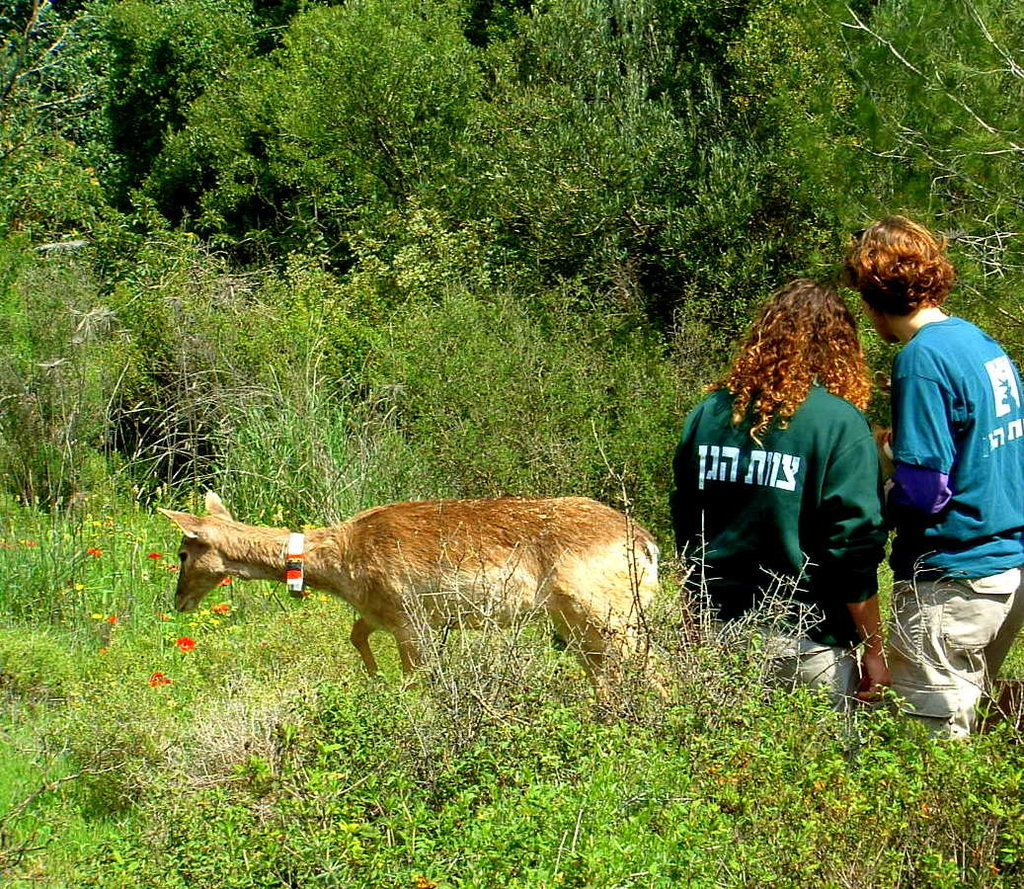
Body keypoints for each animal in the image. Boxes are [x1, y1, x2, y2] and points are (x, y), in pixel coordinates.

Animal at [159, 492, 660, 696]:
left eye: (182, 552)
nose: (177, 601)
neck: (340, 567)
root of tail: (646, 544)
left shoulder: (408, 613)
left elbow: (417, 678)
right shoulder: (379, 612)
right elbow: (356, 635)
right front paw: (372, 676)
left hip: (607, 611)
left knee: (652, 668)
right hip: (574, 621)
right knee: (607, 673)